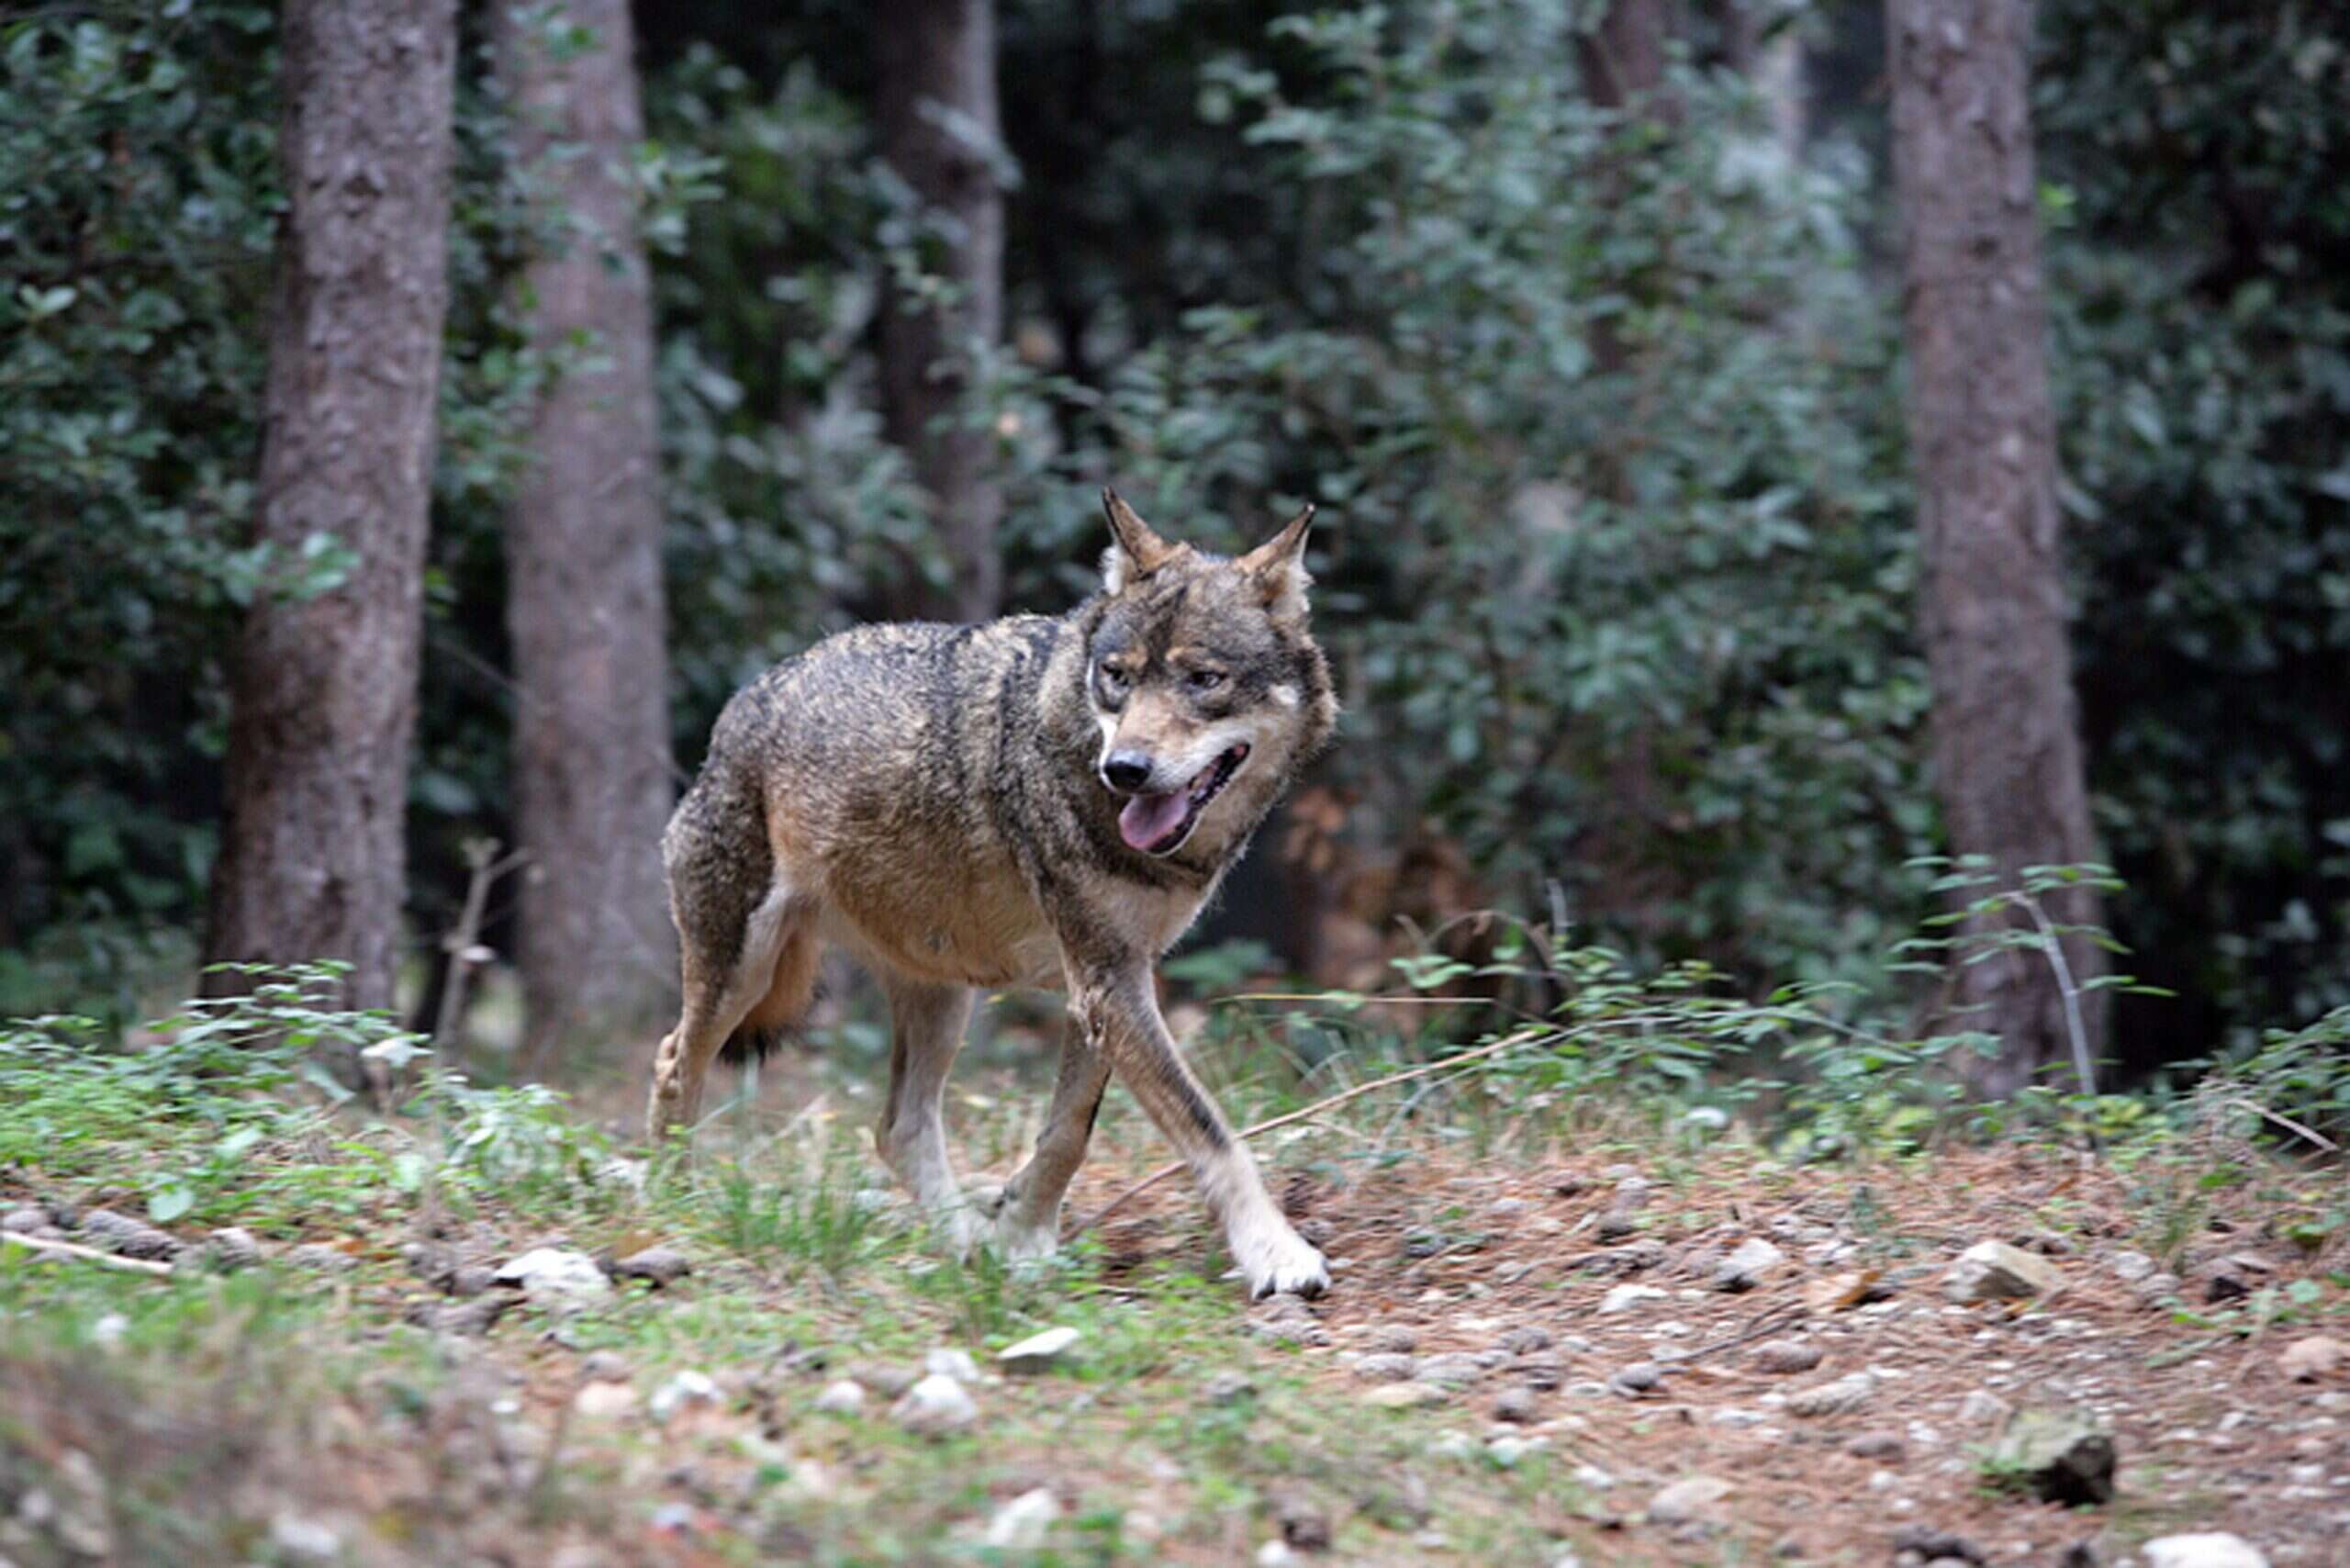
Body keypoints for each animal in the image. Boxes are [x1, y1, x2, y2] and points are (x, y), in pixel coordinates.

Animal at [643, 491, 1344, 1297]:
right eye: (1118, 677)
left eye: (1203, 679)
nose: (1125, 769)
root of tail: (745, 702)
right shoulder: (1107, 983)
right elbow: (1210, 1128)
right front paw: (1277, 1253)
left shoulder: (1105, 985)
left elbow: (1068, 1132)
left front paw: (1019, 1237)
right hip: (744, 973)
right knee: (673, 1063)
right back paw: (673, 1204)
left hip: (943, 995)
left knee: (898, 1128)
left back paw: (963, 1247)